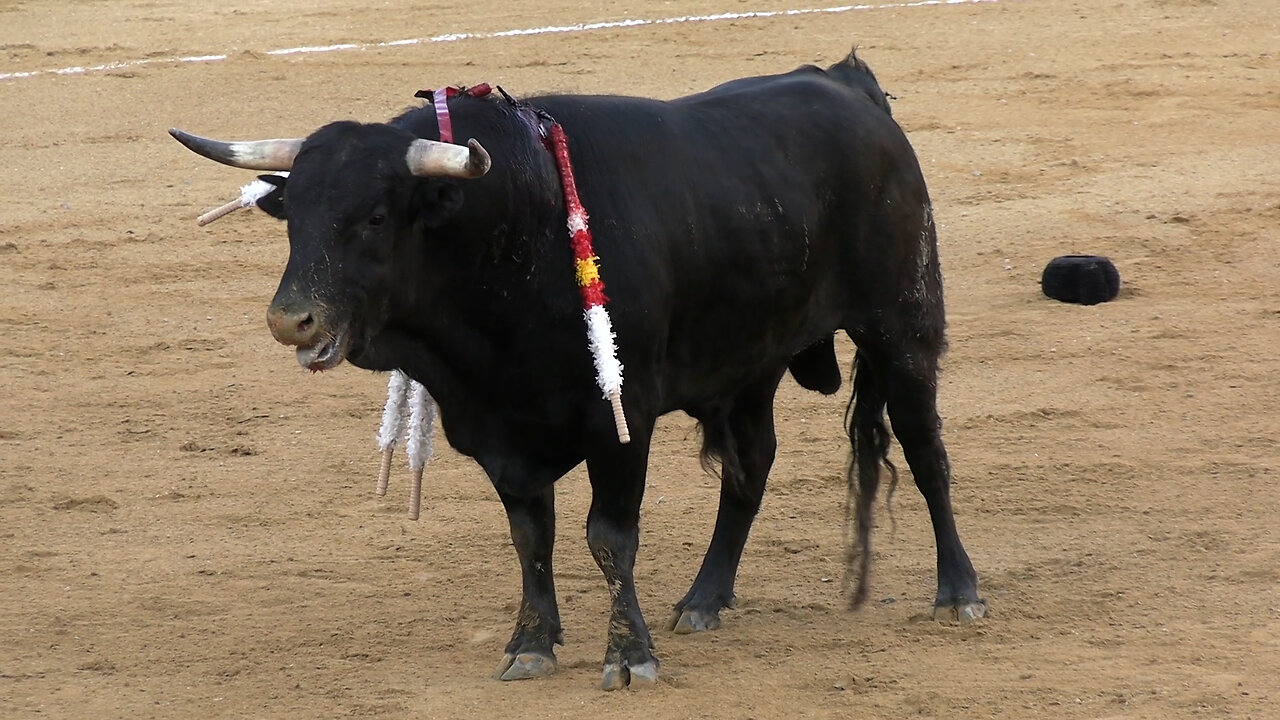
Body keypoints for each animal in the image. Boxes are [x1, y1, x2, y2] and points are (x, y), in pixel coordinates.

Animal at [170, 47, 983, 686]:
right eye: (295, 217)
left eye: (373, 217)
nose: (291, 319)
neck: (510, 229)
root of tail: (849, 87)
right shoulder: (499, 430)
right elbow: (532, 536)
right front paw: (531, 643)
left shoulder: (621, 418)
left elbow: (609, 536)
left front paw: (628, 656)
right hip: (751, 361)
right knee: (751, 466)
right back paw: (704, 599)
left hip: (903, 325)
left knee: (926, 450)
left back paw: (959, 591)